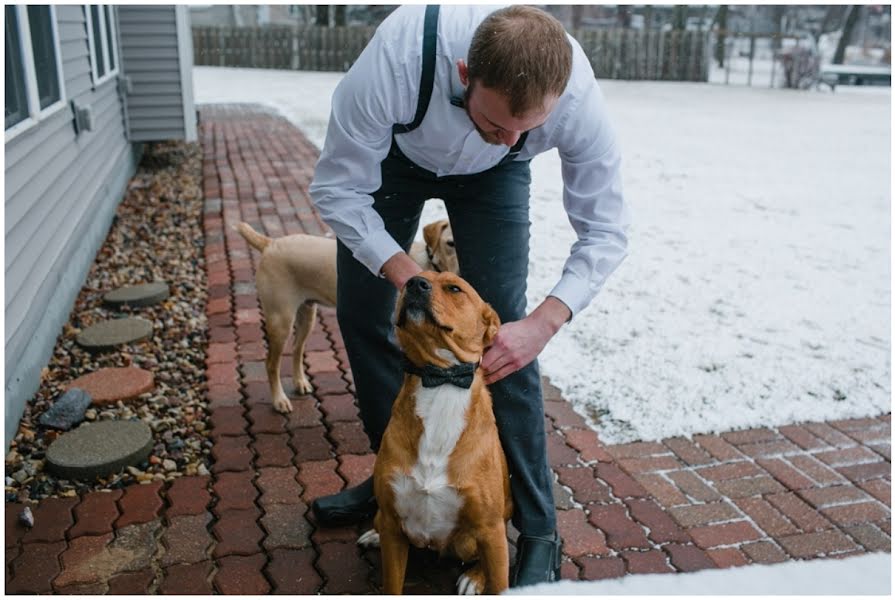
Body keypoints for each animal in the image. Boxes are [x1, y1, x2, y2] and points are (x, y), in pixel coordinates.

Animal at [236, 219, 458, 412]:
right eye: (450, 243)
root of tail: (270, 243)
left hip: (307, 316)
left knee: (297, 349)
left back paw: (300, 382)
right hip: (280, 321)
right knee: (271, 364)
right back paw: (279, 400)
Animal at [356, 272, 512, 596]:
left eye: (455, 288)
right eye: (408, 281)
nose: (414, 283)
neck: (442, 381)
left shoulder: (491, 531)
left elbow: (500, 583)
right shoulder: (393, 527)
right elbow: (392, 585)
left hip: (480, 536)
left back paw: (473, 577)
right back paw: (374, 535)